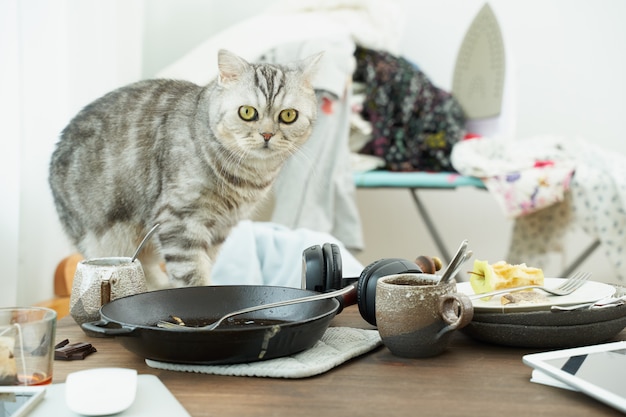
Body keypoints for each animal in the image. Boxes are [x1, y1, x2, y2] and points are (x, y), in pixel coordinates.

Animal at [48, 48, 320, 288]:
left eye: (288, 116)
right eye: (247, 112)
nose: (267, 134)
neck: (247, 176)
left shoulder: (220, 229)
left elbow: (204, 266)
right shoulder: (179, 220)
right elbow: (192, 273)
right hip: (106, 239)